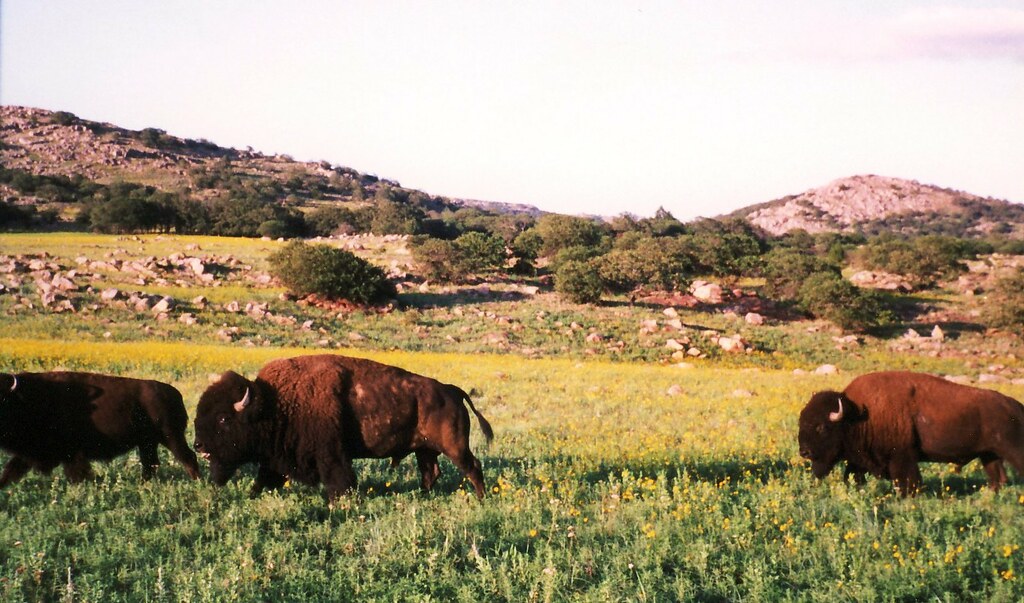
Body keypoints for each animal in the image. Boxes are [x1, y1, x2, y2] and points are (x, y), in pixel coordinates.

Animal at [0, 368, 201, 487]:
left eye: (2, 400)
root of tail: (175, 393)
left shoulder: (73, 454)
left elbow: (78, 473)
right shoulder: (26, 455)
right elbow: (10, 471)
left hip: (170, 437)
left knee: (187, 457)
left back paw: (197, 482)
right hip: (148, 442)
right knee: (150, 464)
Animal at [194, 354, 495, 501]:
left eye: (223, 419)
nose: (198, 445)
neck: (274, 402)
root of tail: (451, 390)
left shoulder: (332, 455)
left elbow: (340, 481)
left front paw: (338, 503)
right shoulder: (274, 459)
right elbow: (263, 480)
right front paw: (251, 496)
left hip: (454, 447)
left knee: (472, 467)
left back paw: (481, 499)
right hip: (425, 449)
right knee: (431, 473)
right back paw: (422, 497)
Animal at [798, 370, 1024, 493]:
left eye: (821, 427)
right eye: (802, 422)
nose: (804, 452)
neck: (856, 414)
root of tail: (1015, 406)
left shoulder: (902, 457)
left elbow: (907, 482)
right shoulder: (860, 459)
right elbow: (853, 475)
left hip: (1012, 450)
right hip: (989, 455)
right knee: (998, 478)